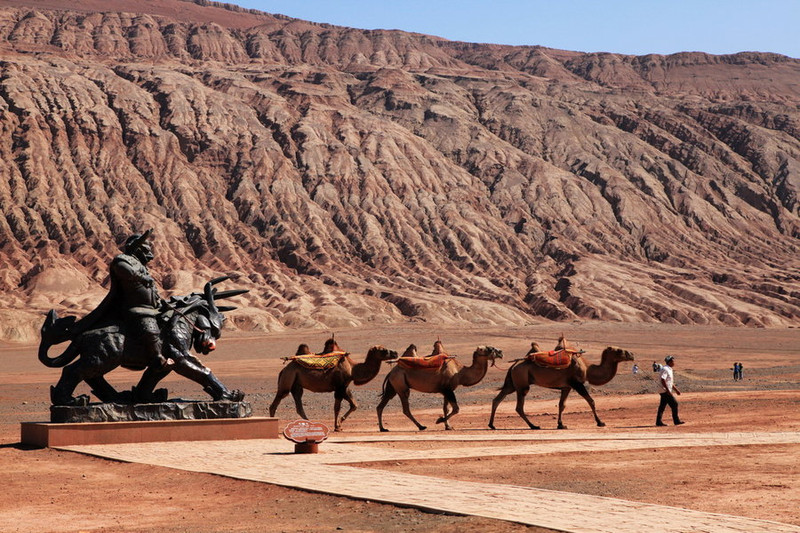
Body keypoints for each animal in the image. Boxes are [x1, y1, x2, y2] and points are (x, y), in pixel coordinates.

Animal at [268, 338, 396, 430]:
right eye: (383, 350)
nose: (395, 352)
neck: (353, 369)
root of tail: (283, 370)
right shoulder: (340, 387)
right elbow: (337, 408)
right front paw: (337, 426)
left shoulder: (344, 386)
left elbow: (354, 405)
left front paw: (340, 423)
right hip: (287, 380)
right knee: (276, 402)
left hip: (296, 385)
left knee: (298, 404)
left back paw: (309, 423)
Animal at [484, 342, 636, 430]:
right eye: (619, 351)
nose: (632, 354)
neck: (587, 368)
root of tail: (513, 366)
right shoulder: (577, 383)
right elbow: (591, 401)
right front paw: (600, 422)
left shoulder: (566, 387)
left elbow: (562, 405)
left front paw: (561, 424)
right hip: (522, 385)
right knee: (518, 407)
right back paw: (534, 425)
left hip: (512, 384)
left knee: (497, 399)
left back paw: (492, 425)